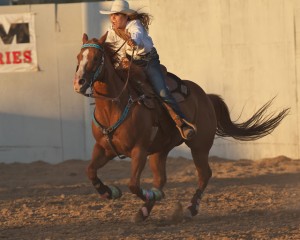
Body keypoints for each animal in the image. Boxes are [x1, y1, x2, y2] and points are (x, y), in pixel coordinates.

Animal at [72, 33, 288, 221]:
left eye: (96, 57)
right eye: (79, 56)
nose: (79, 83)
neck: (114, 106)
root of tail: (206, 97)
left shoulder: (139, 150)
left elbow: (133, 184)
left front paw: (147, 195)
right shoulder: (104, 149)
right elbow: (90, 171)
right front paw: (109, 192)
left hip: (199, 146)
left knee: (204, 174)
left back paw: (190, 208)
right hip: (159, 151)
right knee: (161, 179)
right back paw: (144, 211)